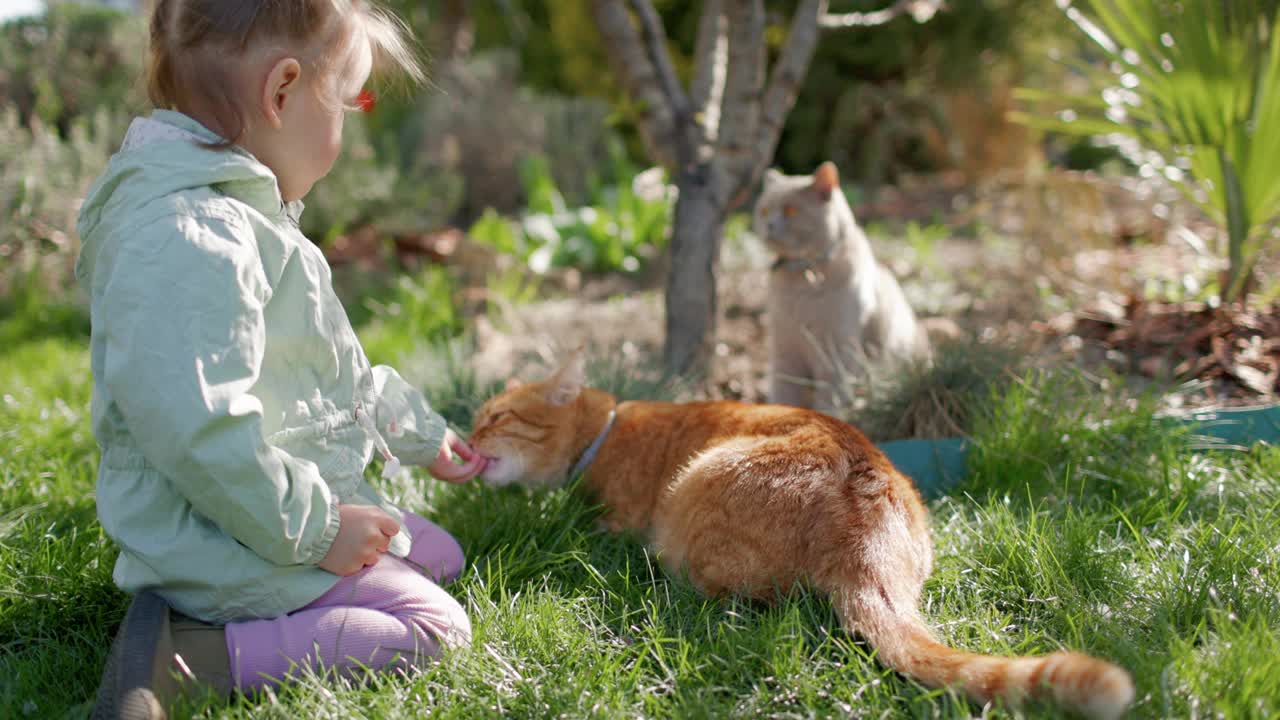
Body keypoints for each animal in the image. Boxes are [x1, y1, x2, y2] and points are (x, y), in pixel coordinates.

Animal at [476, 353, 1136, 717]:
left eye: (498, 417)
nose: (469, 435)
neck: (607, 429)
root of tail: (863, 512)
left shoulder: (611, 518)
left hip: (695, 504)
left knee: (743, 599)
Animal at [757, 162, 931, 409]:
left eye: (791, 211)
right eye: (763, 211)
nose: (769, 225)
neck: (803, 279)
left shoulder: (837, 355)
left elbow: (829, 400)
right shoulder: (784, 350)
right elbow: (783, 396)